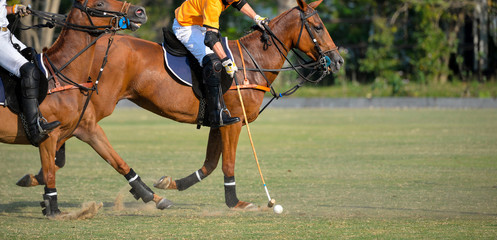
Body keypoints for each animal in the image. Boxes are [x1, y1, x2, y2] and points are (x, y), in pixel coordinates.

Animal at [0, 0, 174, 217]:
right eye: (99, 3)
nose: (140, 12)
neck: (63, 75)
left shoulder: (88, 129)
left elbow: (119, 162)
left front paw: (154, 196)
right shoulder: (49, 136)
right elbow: (50, 173)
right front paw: (53, 210)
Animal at [14, 0, 340, 210]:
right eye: (316, 26)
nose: (337, 60)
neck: (253, 62)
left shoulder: (220, 120)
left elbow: (209, 165)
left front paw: (170, 184)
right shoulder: (234, 120)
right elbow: (227, 164)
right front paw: (236, 203)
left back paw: (38, 177)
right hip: (98, 102)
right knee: (70, 129)